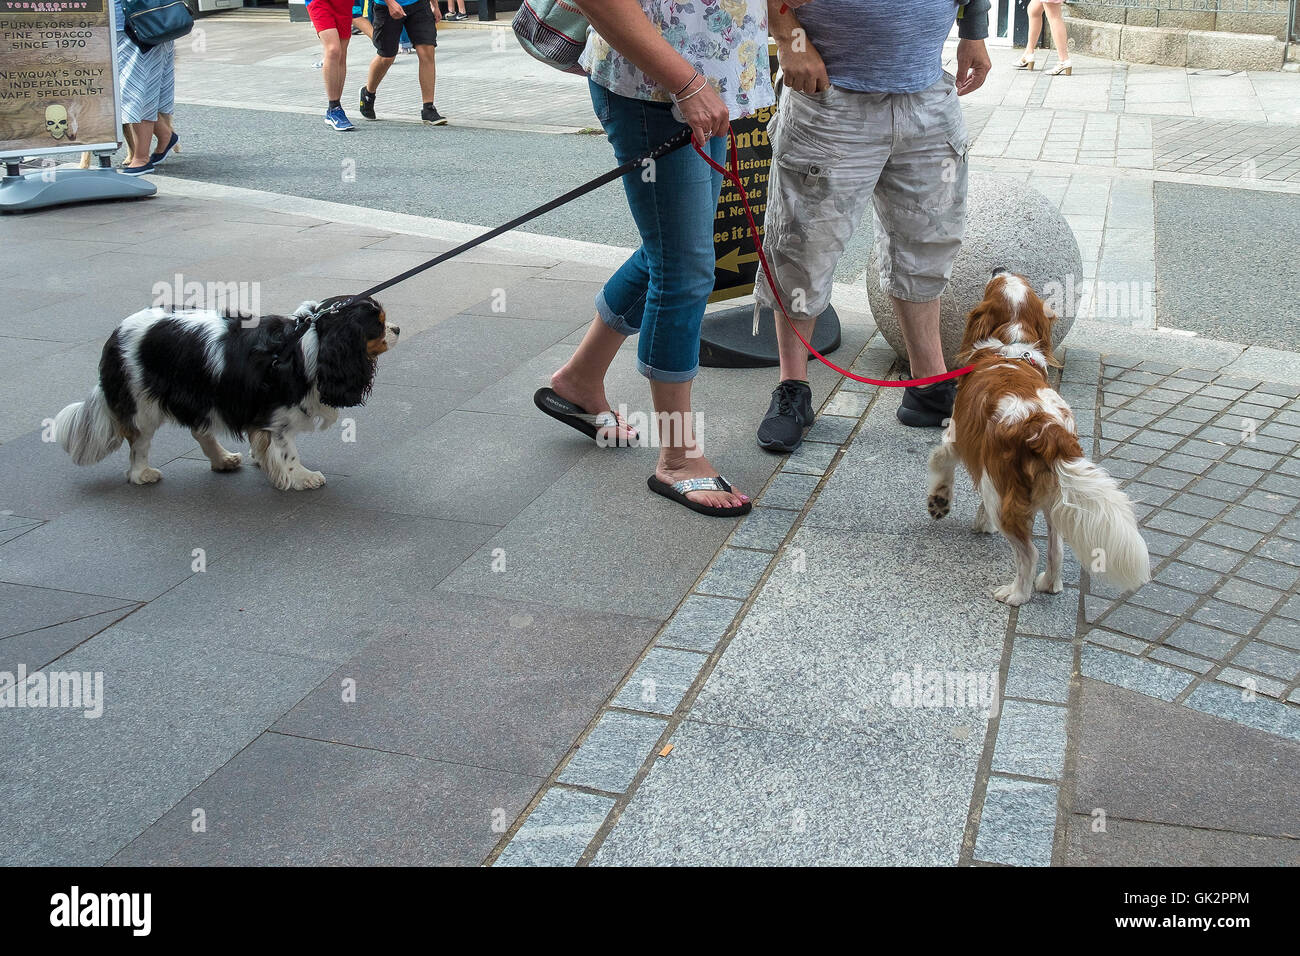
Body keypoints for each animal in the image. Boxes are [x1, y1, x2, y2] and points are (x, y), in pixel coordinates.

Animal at [55, 297, 397, 494]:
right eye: (378, 325)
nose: (397, 329)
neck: (311, 341)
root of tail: (116, 334)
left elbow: (262, 441)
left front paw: (263, 459)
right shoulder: (277, 414)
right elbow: (287, 449)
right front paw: (301, 477)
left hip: (201, 394)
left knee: (199, 430)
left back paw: (222, 460)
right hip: (143, 404)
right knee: (139, 443)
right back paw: (142, 474)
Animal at [925, 270, 1149, 606]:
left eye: (995, 283)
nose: (998, 267)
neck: (1011, 346)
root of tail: (1049, 429)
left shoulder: (957, 436)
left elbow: (940, 462)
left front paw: (940, 501)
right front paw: (980, 521)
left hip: (1002, 486)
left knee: (1029, 552)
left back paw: (1017, 593)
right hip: (1049, 493)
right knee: (1056, 547)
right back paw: (1050, 584)